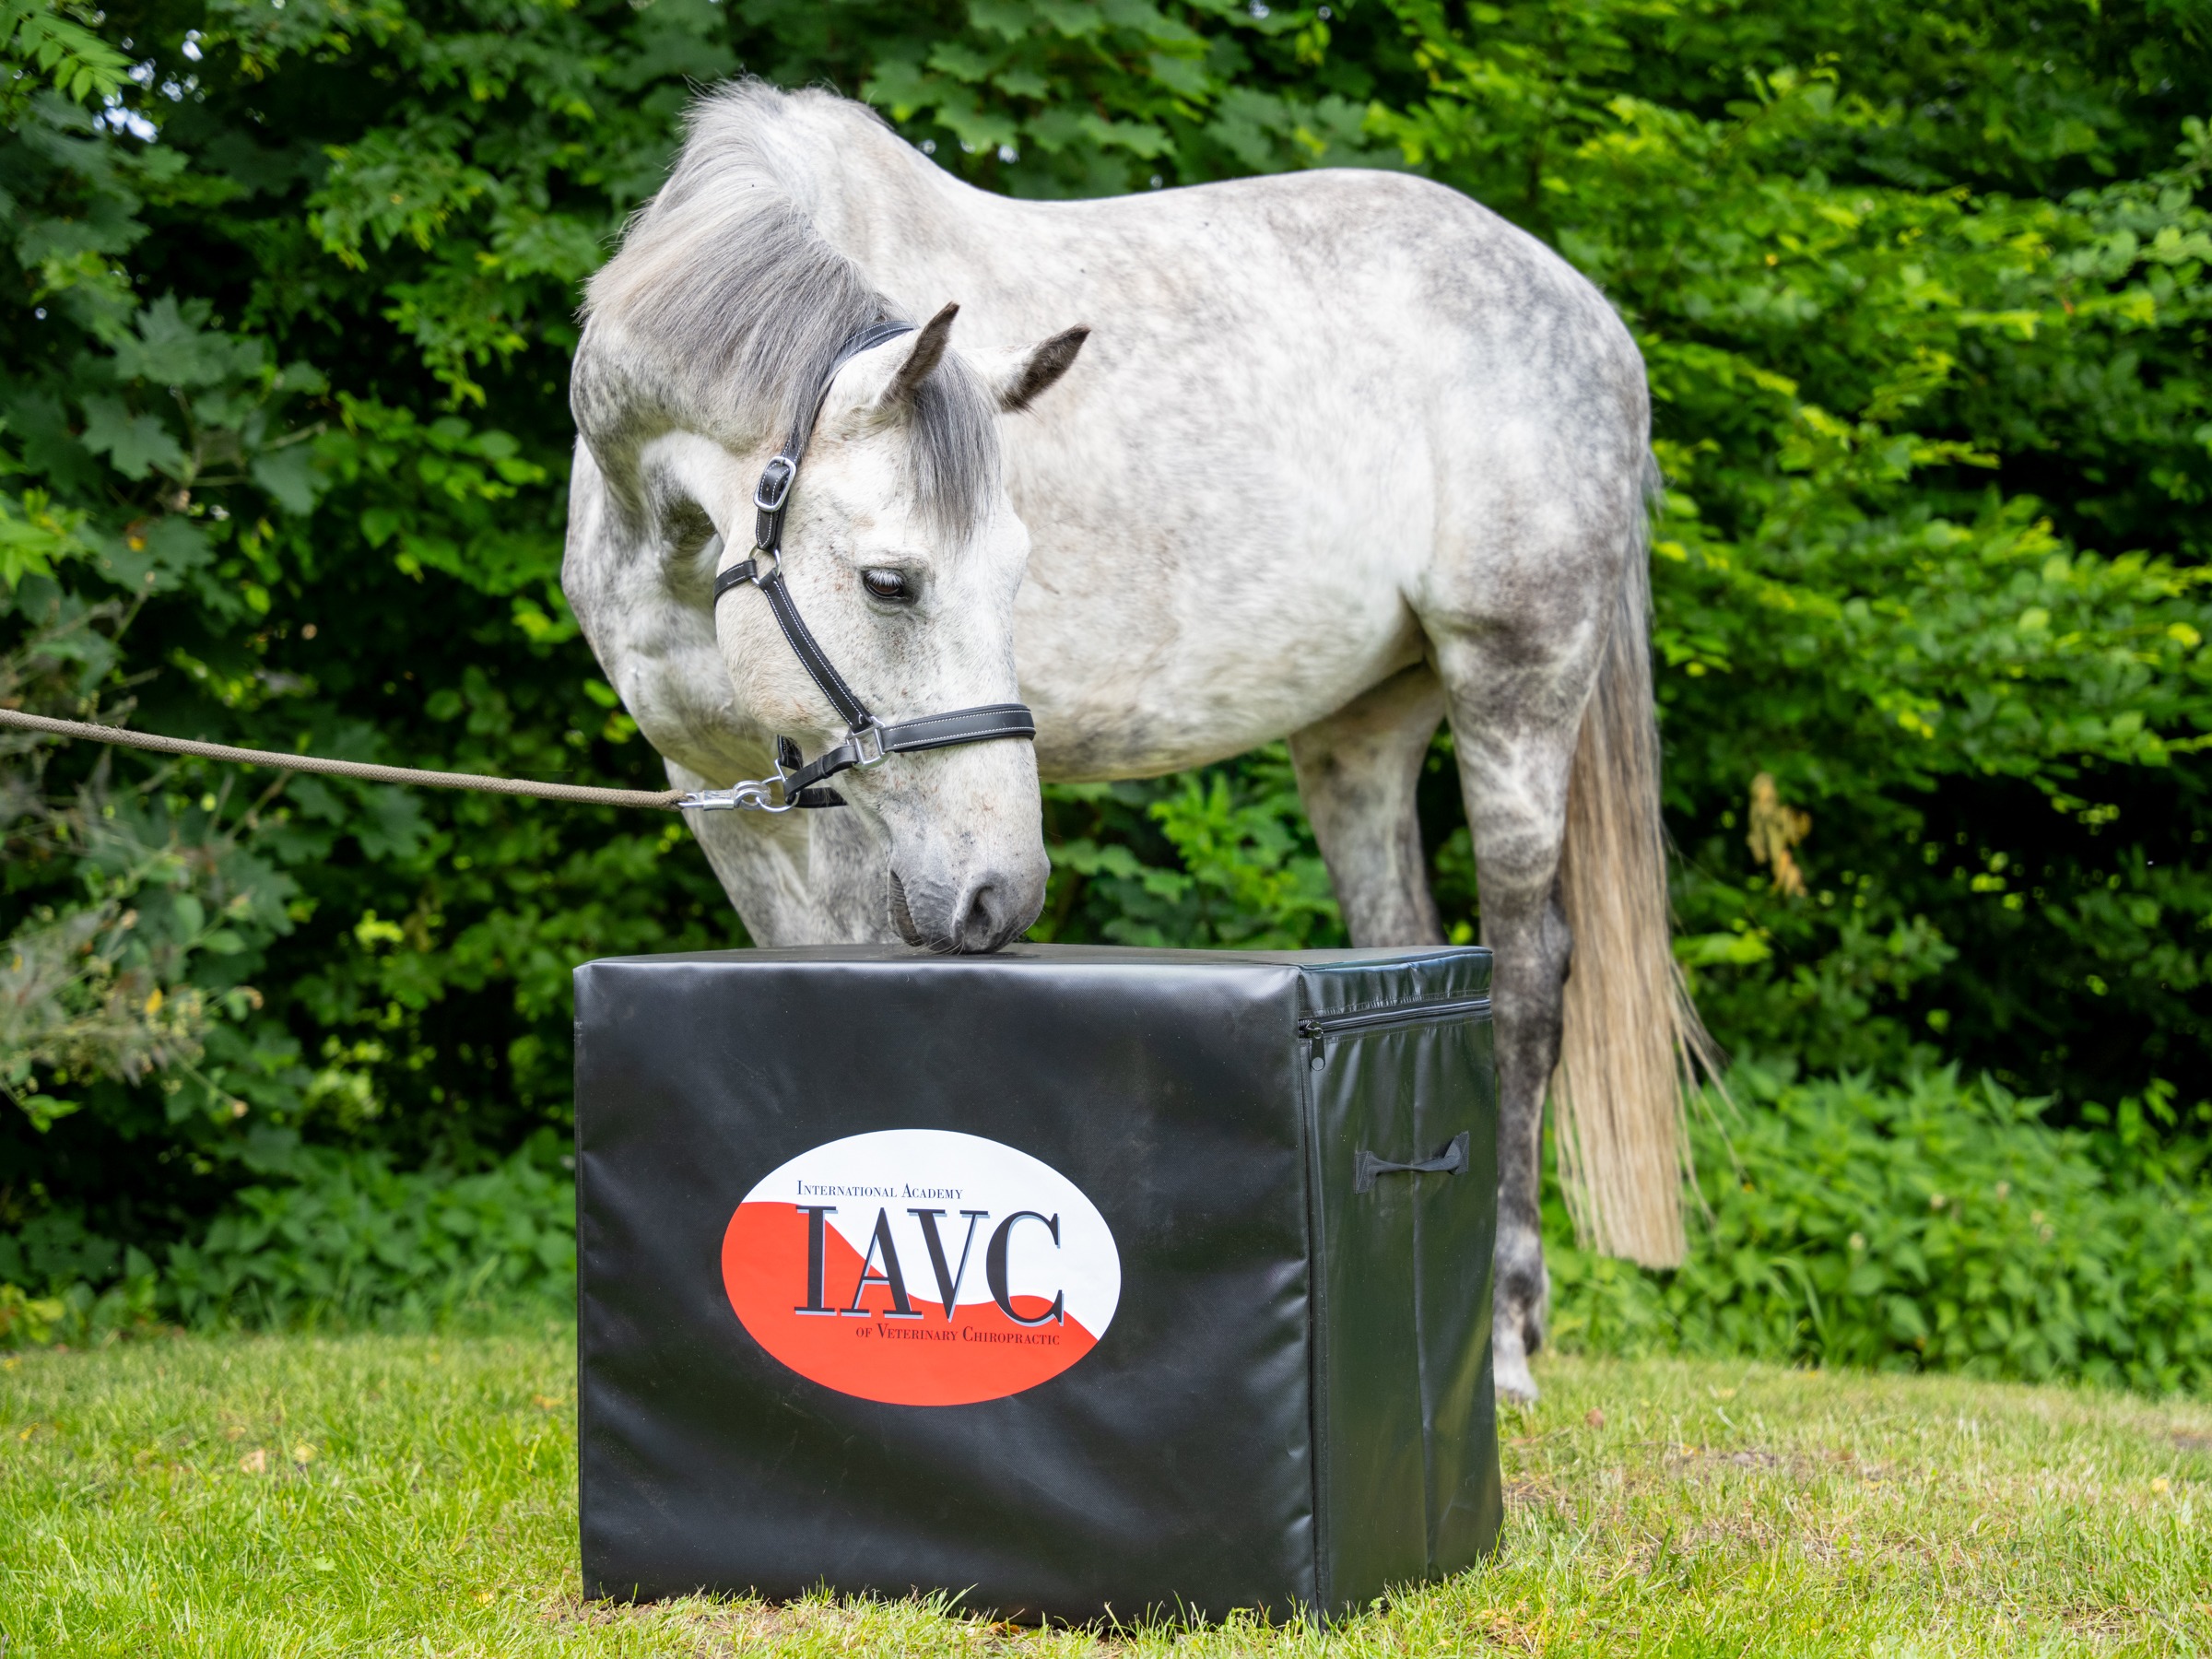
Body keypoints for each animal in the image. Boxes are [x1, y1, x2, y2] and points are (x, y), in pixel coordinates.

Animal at [562, 80, 1699, 1404]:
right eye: (891, 582)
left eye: (1014, 574)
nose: (1002, 893)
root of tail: (1587, 314)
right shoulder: (720, 788)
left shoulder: (856, 821)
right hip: (1361, 732)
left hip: (1517, 682)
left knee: (1523, 978)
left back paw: (1509, 1341)